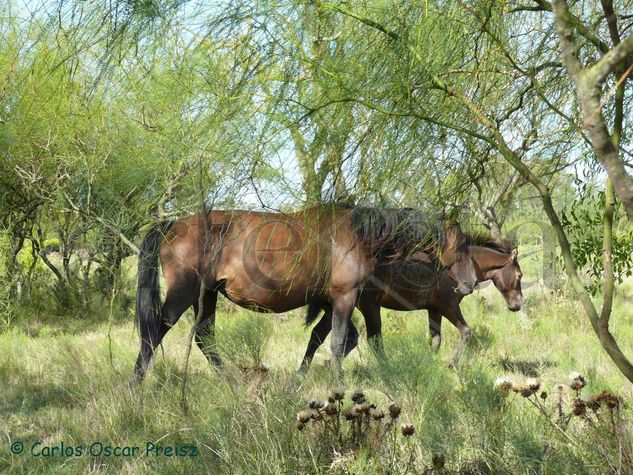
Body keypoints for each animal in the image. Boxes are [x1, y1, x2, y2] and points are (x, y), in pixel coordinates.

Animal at [136, 205, 476, 380]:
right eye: (461, 246)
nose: (470, 283)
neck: (358, 236)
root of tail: (173, 225)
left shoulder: (332, 301)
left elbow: (325, 338)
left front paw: (307, 374)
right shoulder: (345, 297)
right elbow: (339, 342)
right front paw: (337, 383)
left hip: (207, 295)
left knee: (205, 336)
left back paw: (227, 379)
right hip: (184, 293)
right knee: (157, 330)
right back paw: (137, 380)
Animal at [302, 238, 524, 368]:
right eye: (519, 275)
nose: (517, 305)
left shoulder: (434, 310)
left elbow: (435, 340)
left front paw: (432, 364)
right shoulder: (448, 306)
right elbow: (466, 332)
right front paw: (451, 363)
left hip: (336, 308)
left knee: (319, 336)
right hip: (367, 306)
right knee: (370, 340)